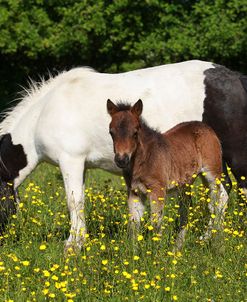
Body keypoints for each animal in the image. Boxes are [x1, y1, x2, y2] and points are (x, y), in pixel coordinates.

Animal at [0, 60, 247, 249]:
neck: (45, 112)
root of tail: (236, 78)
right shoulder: (82, 165)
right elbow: (80, 201)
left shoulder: (70, 160)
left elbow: (73, 201)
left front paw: (73, 244)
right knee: (220, 194)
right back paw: (208, 236)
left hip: (234, 156)